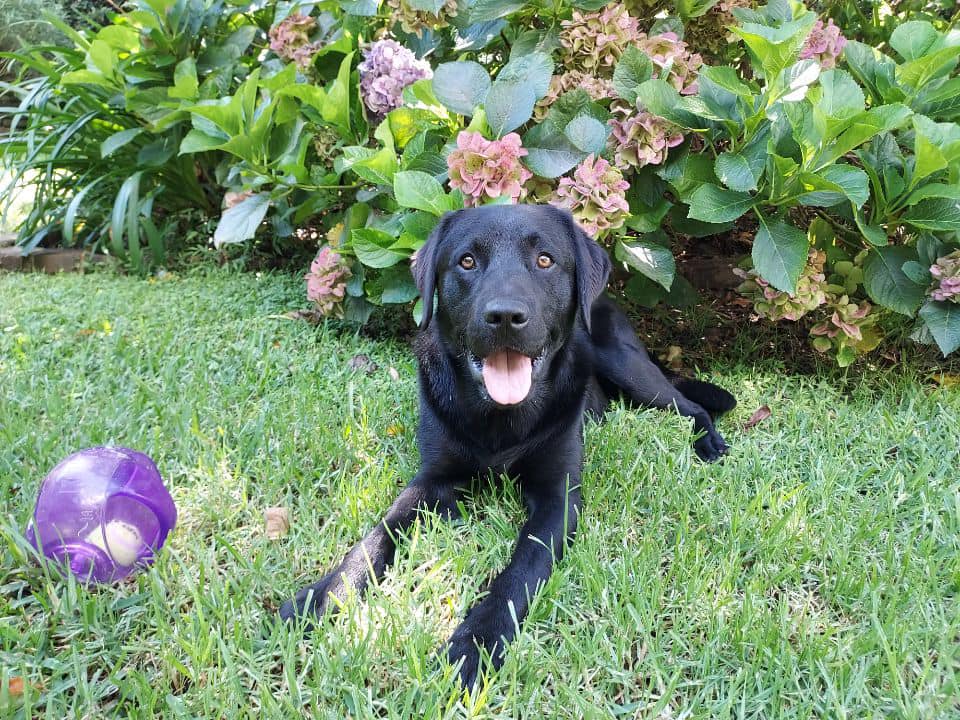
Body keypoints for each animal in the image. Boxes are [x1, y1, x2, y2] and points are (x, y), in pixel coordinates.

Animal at [278, 202, 736, 688]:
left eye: (545, 260)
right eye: (466, 261)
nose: (504, 317)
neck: (501, 420)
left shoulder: (558, 497)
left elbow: (519, 573)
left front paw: (475, 643)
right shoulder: (430, 481)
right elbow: (375, 538)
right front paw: (322, 597)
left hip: (628, 367)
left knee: (691, 406)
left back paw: (709, 443)